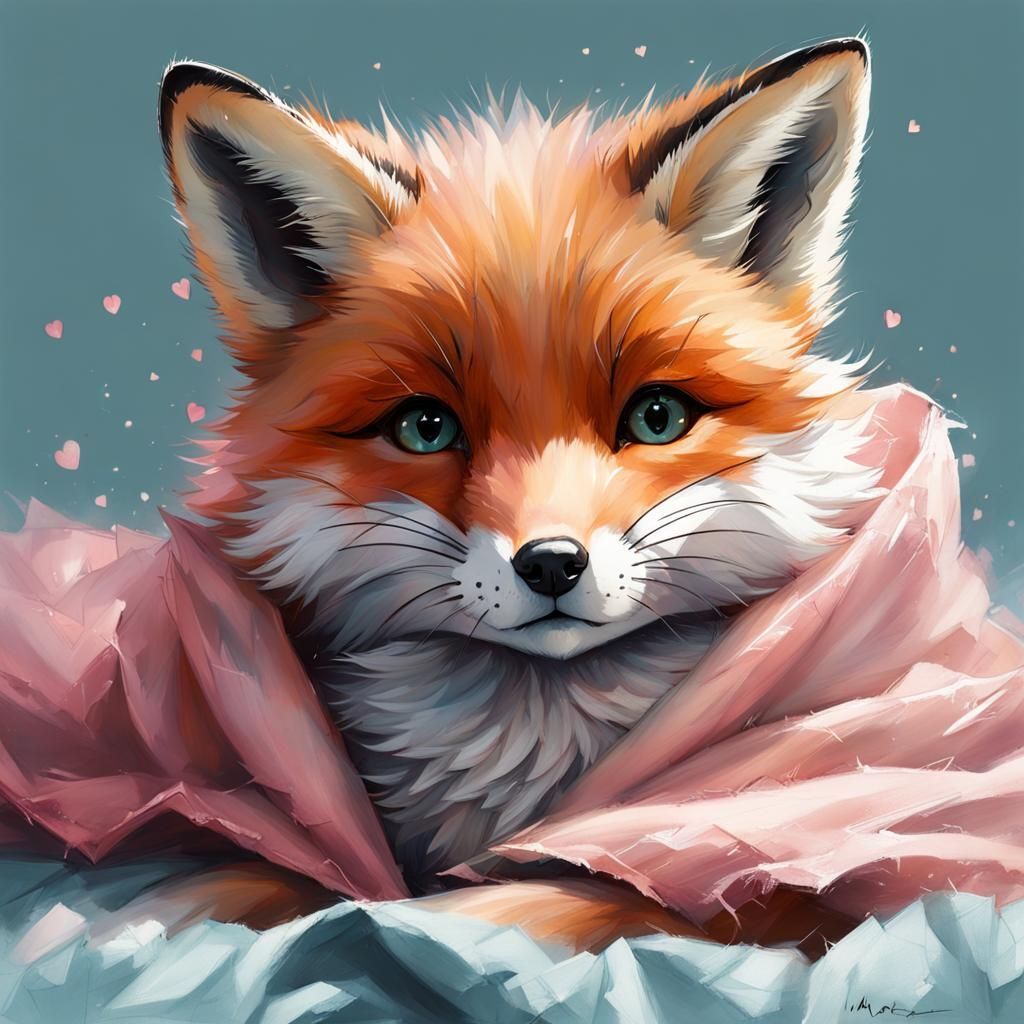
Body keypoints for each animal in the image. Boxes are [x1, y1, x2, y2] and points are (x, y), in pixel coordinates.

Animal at [153, 37, 882, 947]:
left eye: (657, 416)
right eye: (425, 428)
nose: (552, 564)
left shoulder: (766, 880)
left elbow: (532, 899)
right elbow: (229, 877)